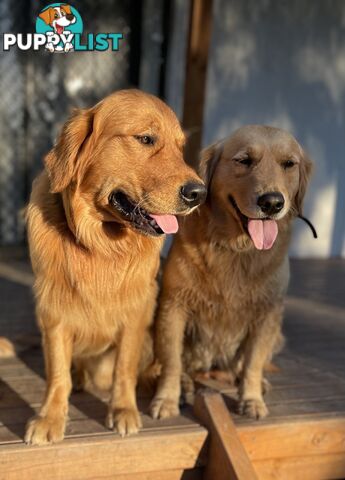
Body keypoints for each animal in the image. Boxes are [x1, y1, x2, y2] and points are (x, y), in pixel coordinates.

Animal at [25, 88, 206, 444]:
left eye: (180, 148)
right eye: (146, 139)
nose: (199, 193)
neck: (100, 246)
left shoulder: (136, 311)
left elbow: (125, 367)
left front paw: (123, 410)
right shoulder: (53, 311)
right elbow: (57, 373)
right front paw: (50, 417)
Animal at [150, 124, 312, 420]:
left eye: (289, 164)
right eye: (244, 160)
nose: (272, 203)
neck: (235, 248)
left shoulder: (267, 313)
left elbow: (252, 363)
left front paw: (251, 399)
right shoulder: (173, 306)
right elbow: (171, 361)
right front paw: (166, 399)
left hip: (277, 333)